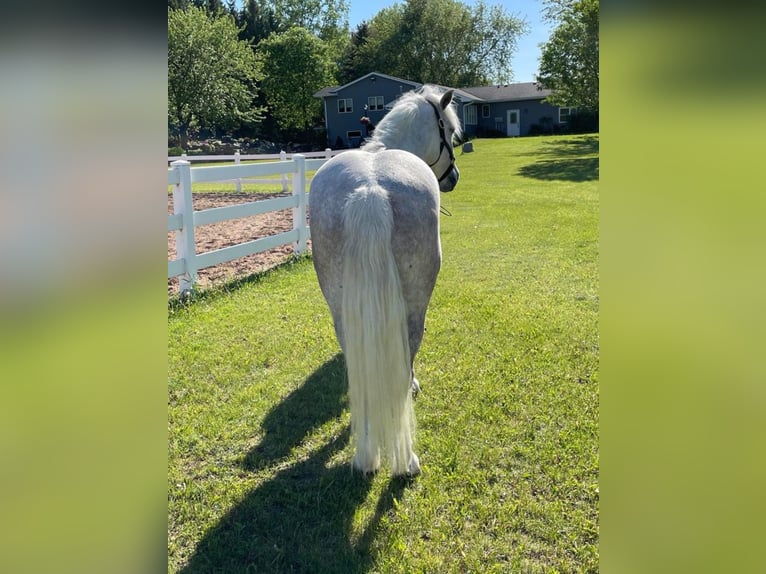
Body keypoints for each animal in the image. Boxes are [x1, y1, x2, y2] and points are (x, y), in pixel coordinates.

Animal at [310, 86, 462, 476]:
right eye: (451, 132)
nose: (453, 177)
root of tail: (370, 190)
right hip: (415, 305)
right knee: (408, 348)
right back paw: (406, 458)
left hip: (340, 309)